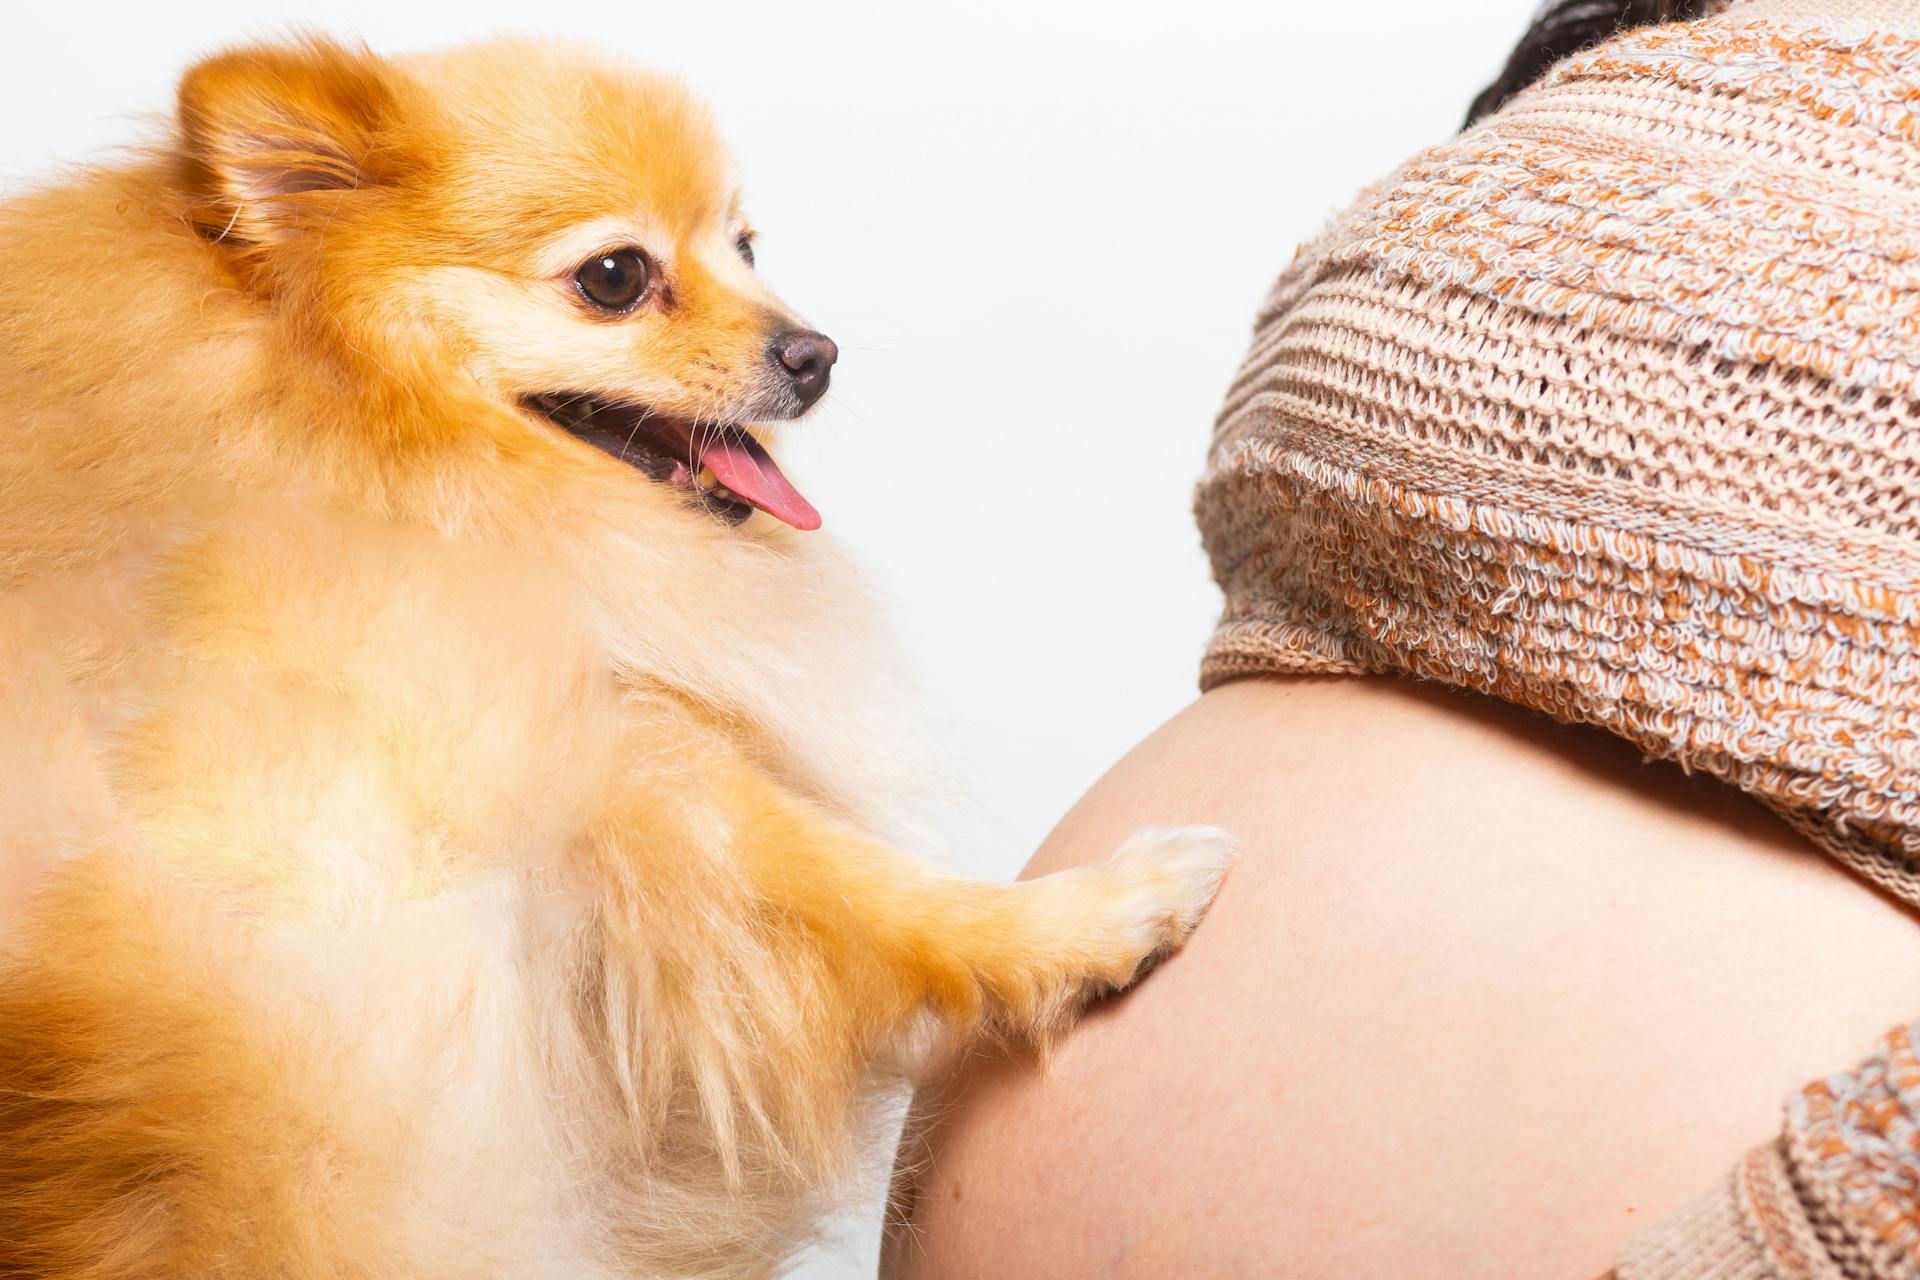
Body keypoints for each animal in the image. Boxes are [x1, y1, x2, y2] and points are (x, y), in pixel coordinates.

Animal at [0, 35, 1228, 1274]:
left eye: (747, 247)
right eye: (614, 277)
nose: (817, 351)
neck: (366, 443)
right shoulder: (554, 755)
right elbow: (853, 881)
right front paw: (1107, 909)